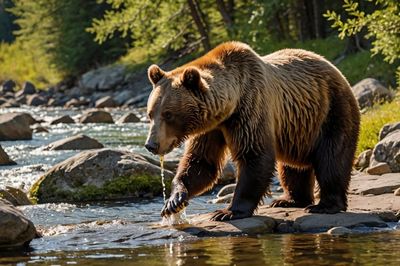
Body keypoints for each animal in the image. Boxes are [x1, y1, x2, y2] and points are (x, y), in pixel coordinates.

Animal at [145, 41, 360, 220]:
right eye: (150, 113)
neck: (230, 105)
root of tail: (335, 68)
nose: (151, 145)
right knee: (292, 168)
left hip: (332, 110)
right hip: (298, 128)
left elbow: (254, 156)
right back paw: (289, 200)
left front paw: (228, 212)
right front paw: (174, 201)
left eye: (168, 114)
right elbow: (201, 162)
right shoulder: (212, 127)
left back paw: (326, 205)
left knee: (332, 158)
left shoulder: (251, 108)